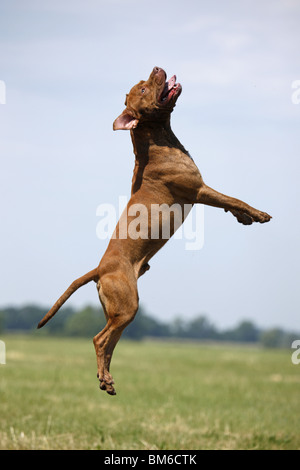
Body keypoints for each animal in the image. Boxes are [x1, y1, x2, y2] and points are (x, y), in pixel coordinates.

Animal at [38, 66, 272, 394]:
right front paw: (258, 214)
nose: (157, 68)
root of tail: (100, 269)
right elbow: (233, 198)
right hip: (127, 305)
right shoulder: (198, 190)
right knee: (99, 339)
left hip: (120, 312)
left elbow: (231, 204)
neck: (156, 139)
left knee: (109, 343)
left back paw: (105, 379)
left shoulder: (201, 191)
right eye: (144, 90)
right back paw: (105, 378)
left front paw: (245, 218)